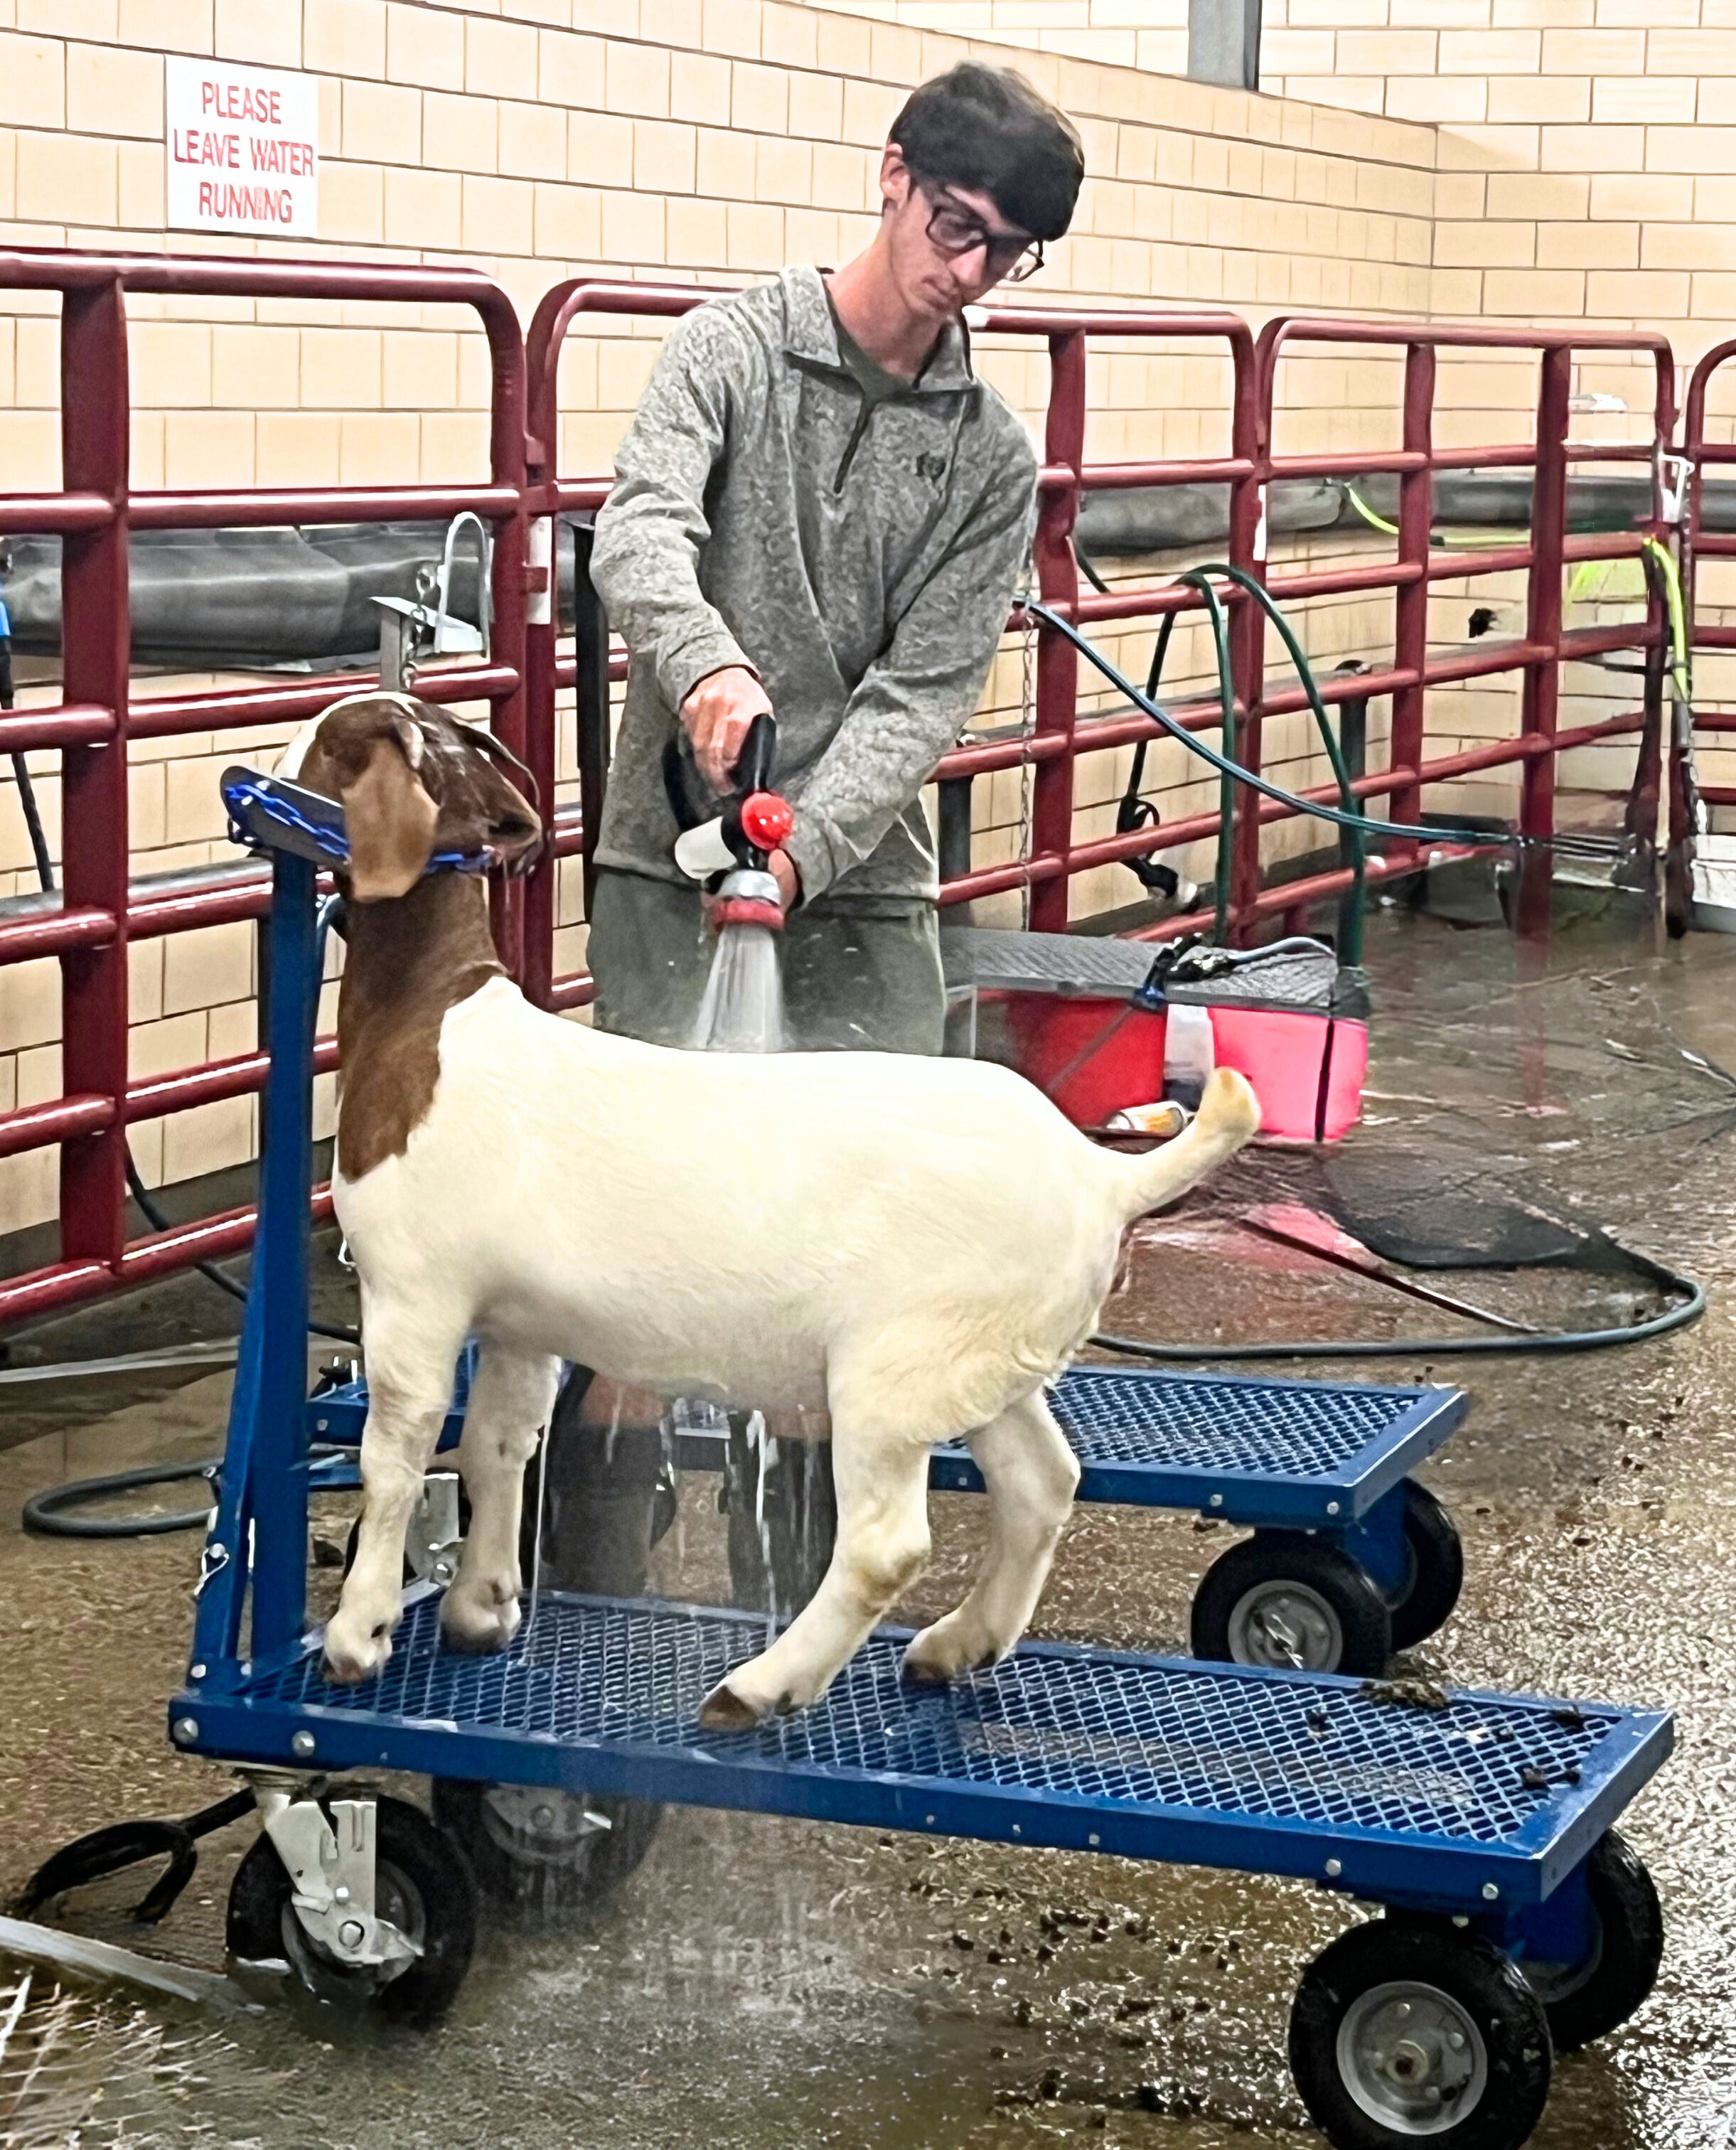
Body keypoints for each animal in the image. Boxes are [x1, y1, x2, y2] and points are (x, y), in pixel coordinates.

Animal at [283, 694, 1260, 1728]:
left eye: (328, 741)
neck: (433, 1021)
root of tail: (1098, 1176)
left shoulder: (413, 1294)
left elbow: (397, 1452)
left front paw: (357, 1635)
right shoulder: (517, 1322)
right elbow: (497, 1446)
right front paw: (481, 1608)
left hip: (893, 1372)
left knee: (885, 1545)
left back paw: (760, 1687)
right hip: (983, 1357)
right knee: (1041, 1483)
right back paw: (955, 1646)